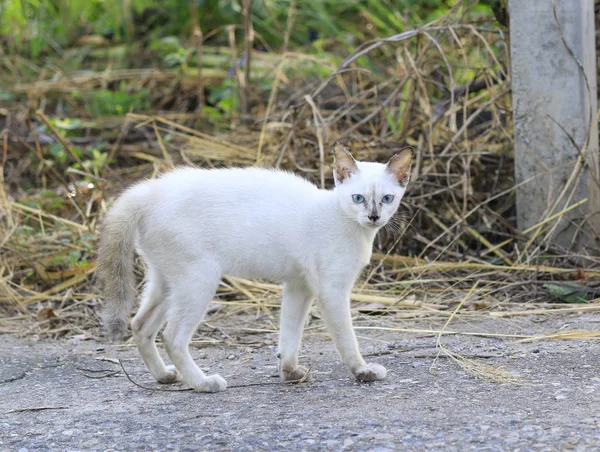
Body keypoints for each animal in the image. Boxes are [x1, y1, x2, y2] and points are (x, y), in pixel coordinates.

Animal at [98, 142, 412, 392]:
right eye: (358, 198)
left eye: (387, 199)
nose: (374, 216)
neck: (348, 223)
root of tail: (148, 190)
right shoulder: (332, 291)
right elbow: (347, 339)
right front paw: (363, 371)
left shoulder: (299, 287)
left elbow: (290, 336)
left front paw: (290, 373)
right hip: (198, 280)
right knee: (172, 336)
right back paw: (203, 383)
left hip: (167, 281)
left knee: (140, 325)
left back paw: (164, 376)